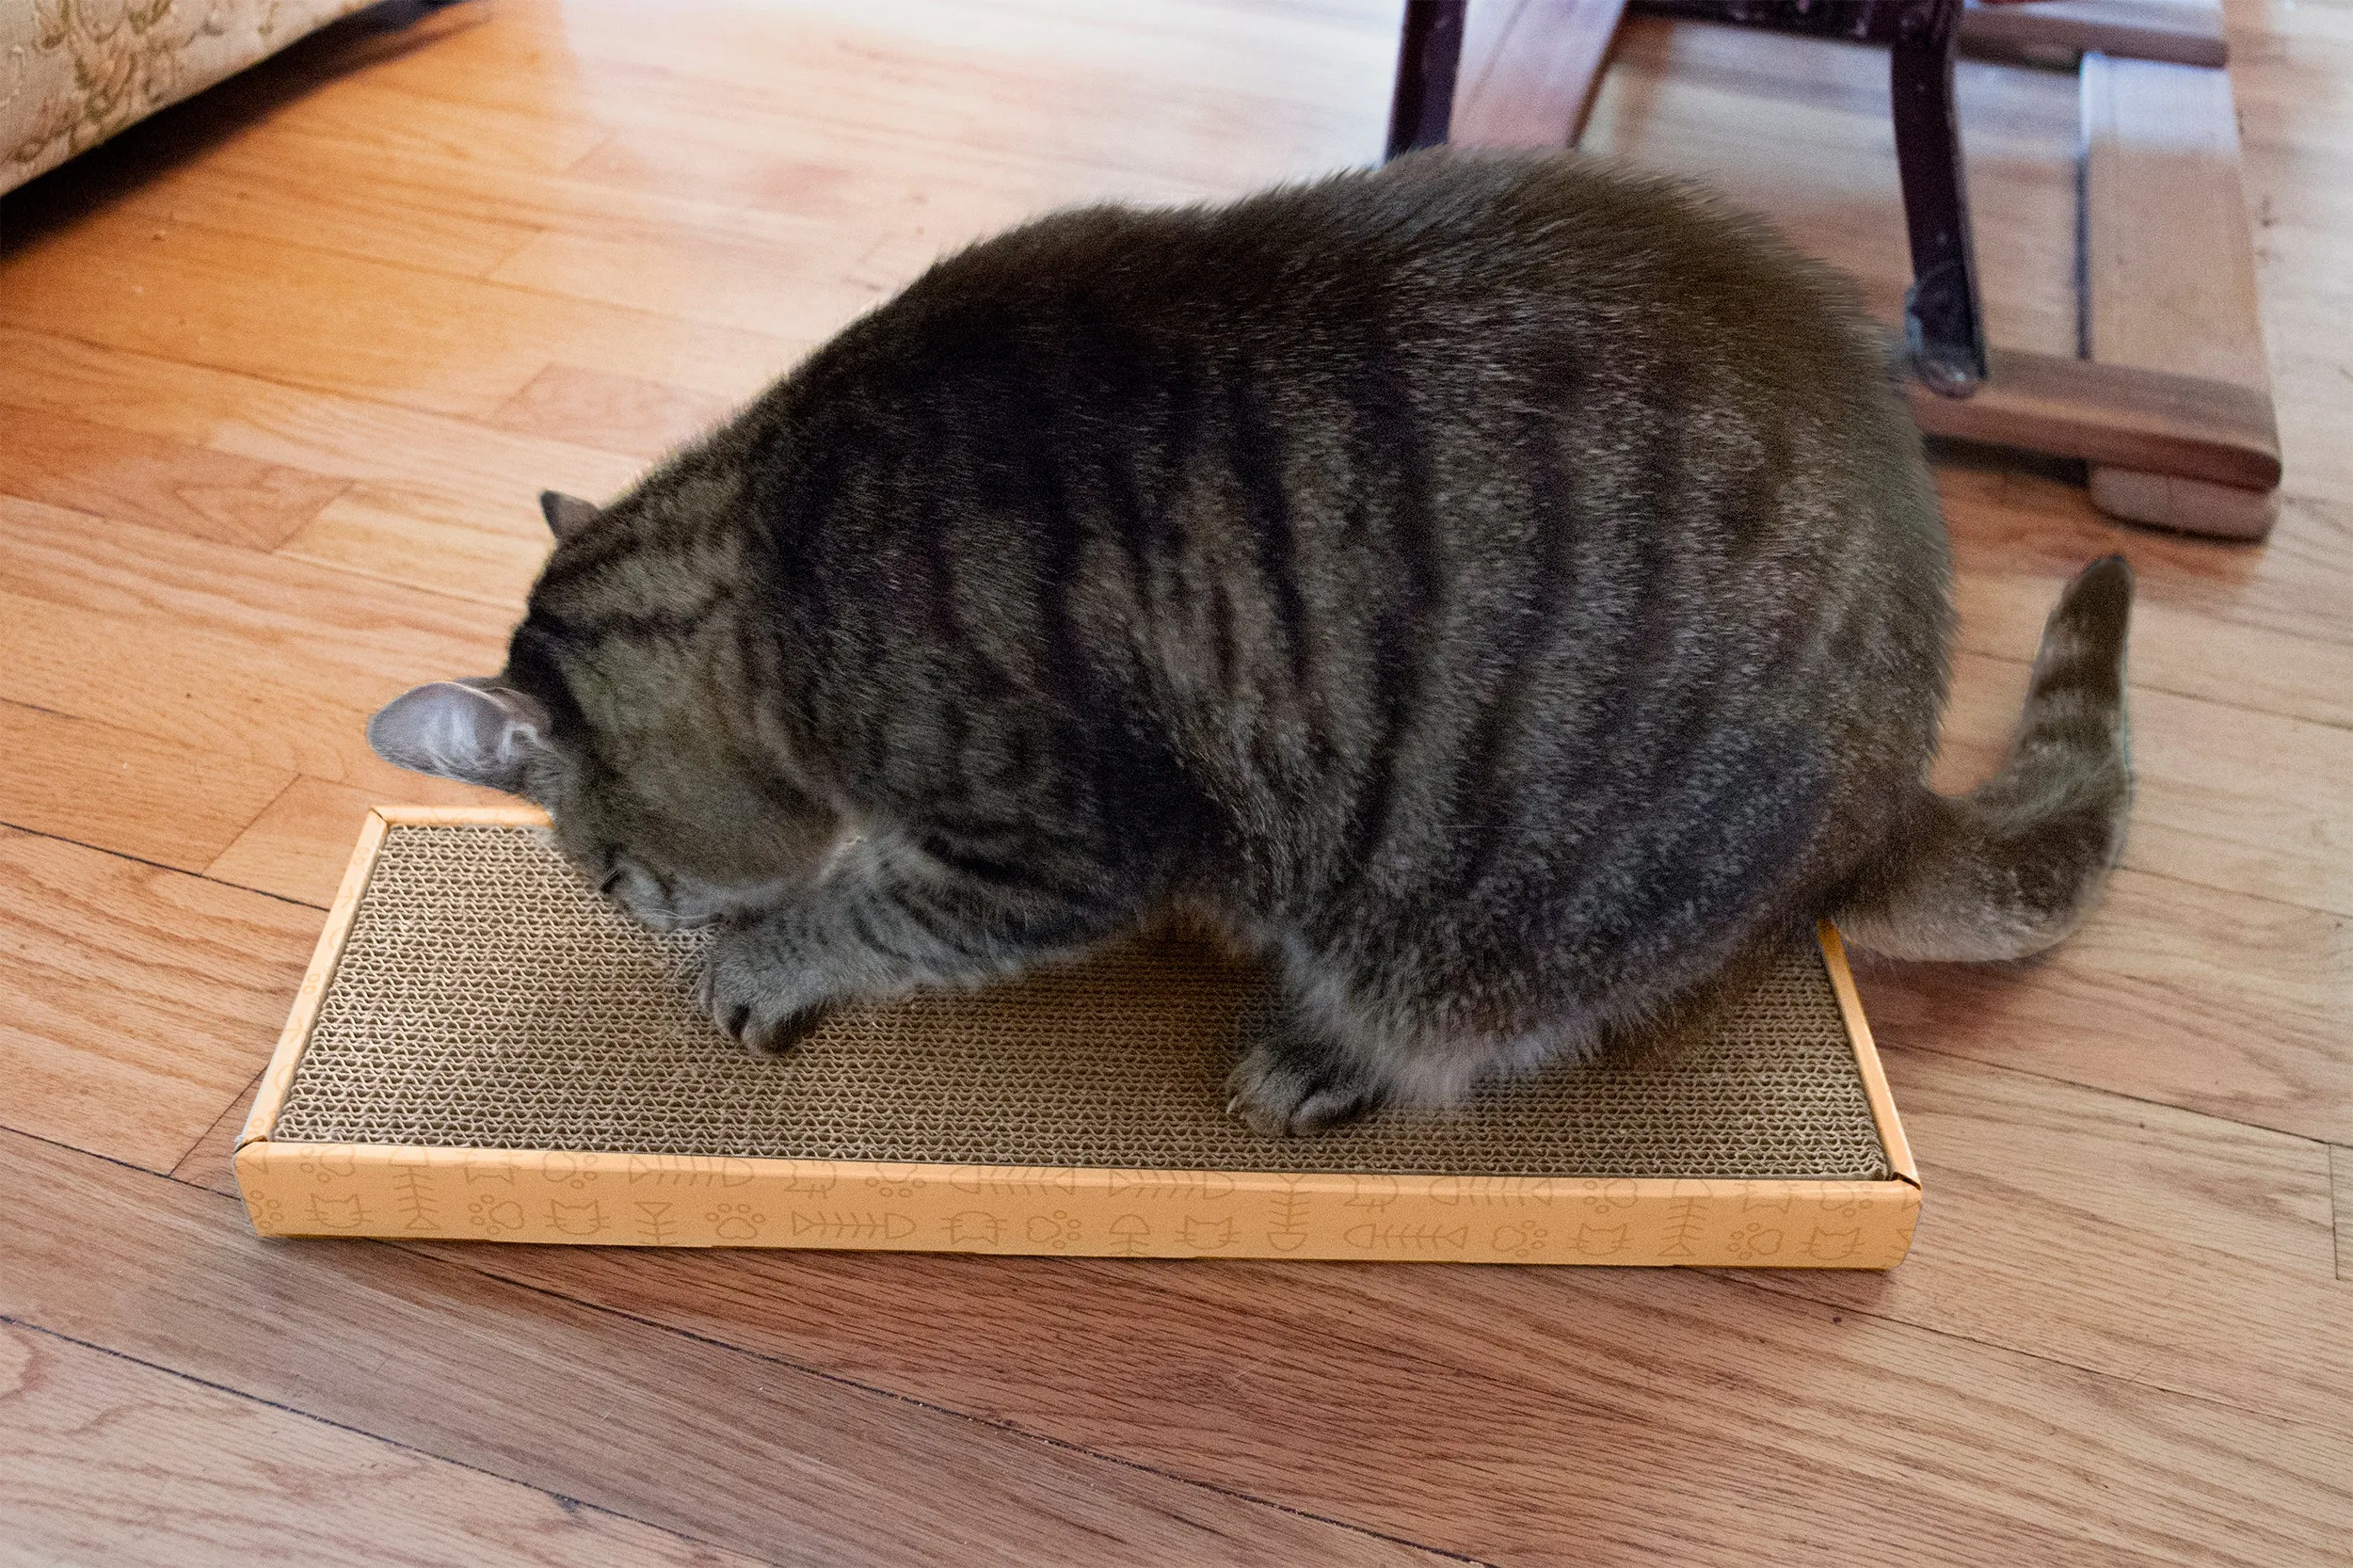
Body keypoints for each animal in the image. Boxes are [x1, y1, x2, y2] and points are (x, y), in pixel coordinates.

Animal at [367, 152, 2137, 1129]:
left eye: (610, 876)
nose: (625, 911)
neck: (779, 549)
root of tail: (1893, 786)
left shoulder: (1056, 846)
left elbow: (875, 912)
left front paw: (761, 959)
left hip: (1495, 914)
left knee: (1482, 1031)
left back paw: (1331, 1058)